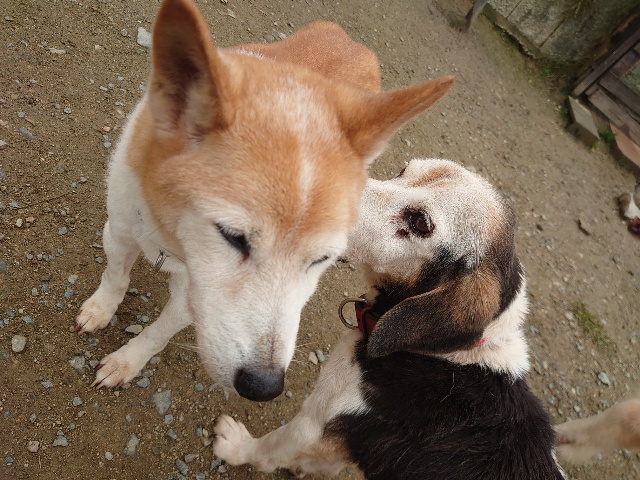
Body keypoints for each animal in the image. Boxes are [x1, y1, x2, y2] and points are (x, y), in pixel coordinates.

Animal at [75, 0, 454, 401]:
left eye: (321, 259)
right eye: (233, 237)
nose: (263, 386)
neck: (169, 239)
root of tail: (353, 42)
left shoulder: (193, 293)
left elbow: (158, 333)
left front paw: (126, 361)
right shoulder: (120, 229)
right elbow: (115, 277)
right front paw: (101, 309)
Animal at [212, 158, 566, 478]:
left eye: (420, 222)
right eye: (403, 170)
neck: (446, 356)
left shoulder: (312, 423)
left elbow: (268, 447)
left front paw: (235, 445)